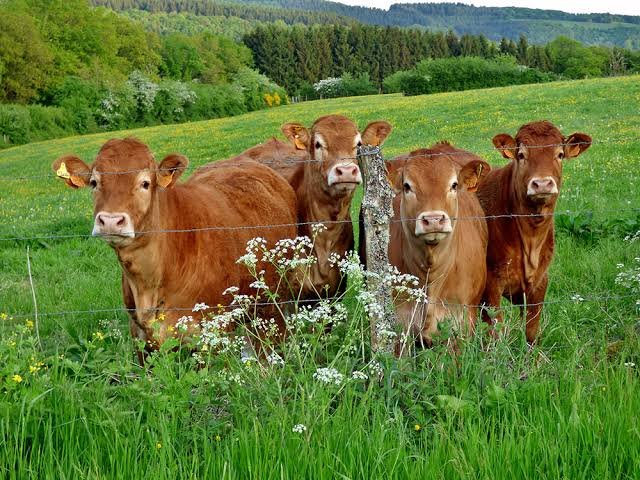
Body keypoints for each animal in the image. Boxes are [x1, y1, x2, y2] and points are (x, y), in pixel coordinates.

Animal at [475, 120, 592, 343]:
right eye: (521, 155)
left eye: (560, 154)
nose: (542, 184)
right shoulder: (490, 285)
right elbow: (496, 332)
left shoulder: (540, 282)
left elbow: (531, 332)